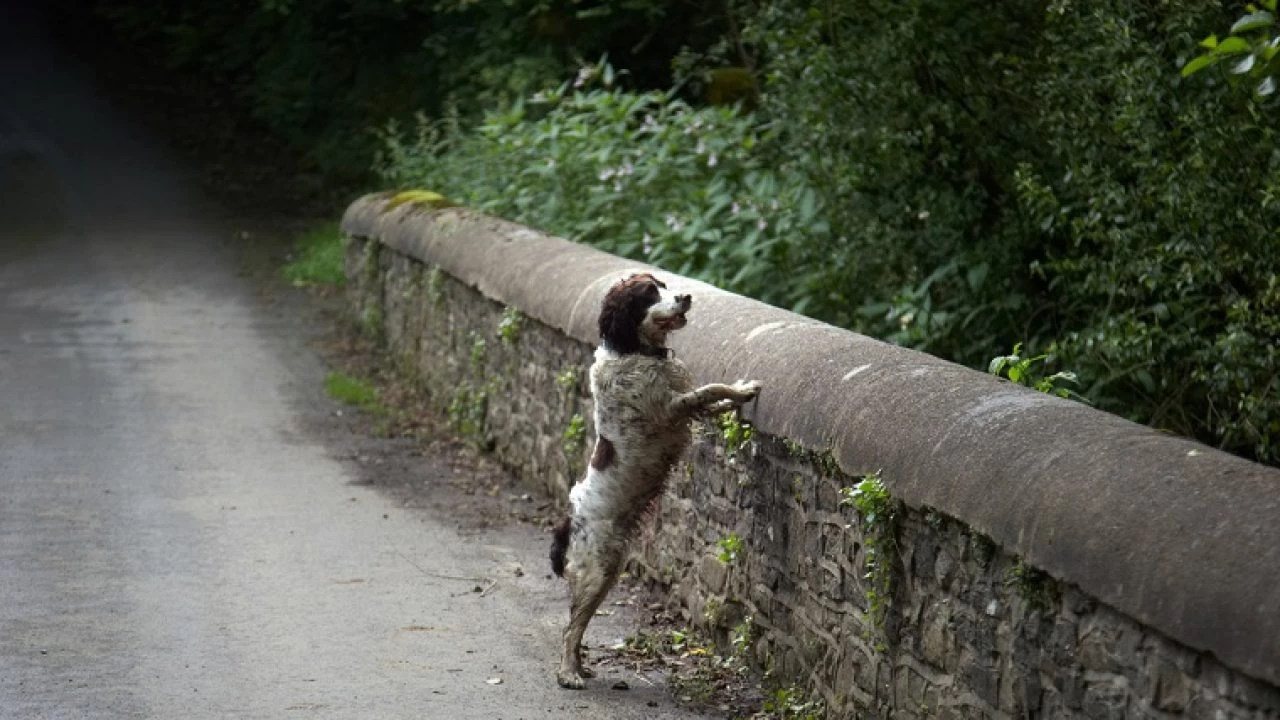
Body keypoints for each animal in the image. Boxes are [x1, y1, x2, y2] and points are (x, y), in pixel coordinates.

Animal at [542, 271, 757, 686]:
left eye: (666, 284)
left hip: (609, 571)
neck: (634, 351)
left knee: (579, 624)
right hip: (594, 572)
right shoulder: (670, 408)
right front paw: (743, 390)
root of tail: (566, 527)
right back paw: (568, 674)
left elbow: (711, 400)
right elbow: (709, 390)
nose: (686, 296)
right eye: (648, 293)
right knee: (568, 630)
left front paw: (734, 398)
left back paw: (581, 666)